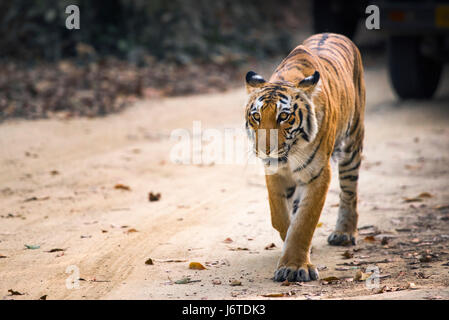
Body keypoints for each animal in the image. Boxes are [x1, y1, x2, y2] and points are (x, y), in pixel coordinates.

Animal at [245, 33, 364, 282]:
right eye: (256, 117)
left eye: (283, 117)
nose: (265, 150)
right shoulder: (275, 173)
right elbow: (281, 217)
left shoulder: (318, 173)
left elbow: (304, 222)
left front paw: (294, 267)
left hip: (352, 145)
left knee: (349, 192)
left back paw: (344, 233)